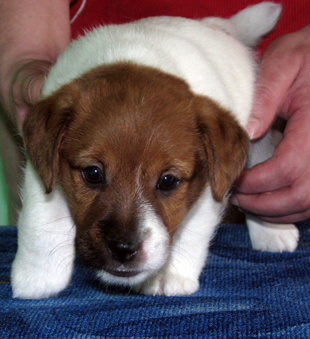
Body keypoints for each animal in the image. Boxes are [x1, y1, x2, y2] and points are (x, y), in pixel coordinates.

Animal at [11, 3, 298, 300]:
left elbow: (192, 232)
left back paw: (273, 230)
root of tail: (220, 27)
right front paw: (38, 276)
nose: (123, 249)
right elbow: (41, 222)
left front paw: (170, 275)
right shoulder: (43, 169)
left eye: (167, 181)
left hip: (258, 135)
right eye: (92, 174)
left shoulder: (210, 187)